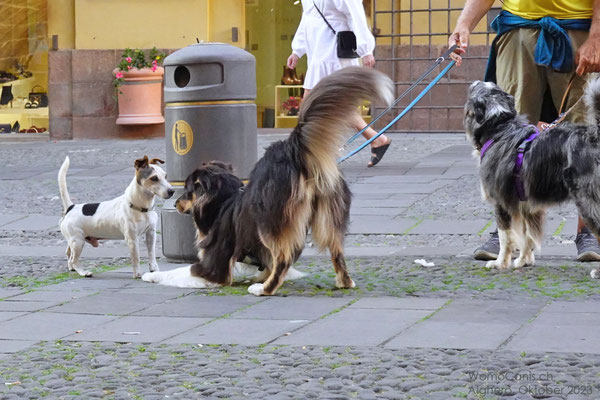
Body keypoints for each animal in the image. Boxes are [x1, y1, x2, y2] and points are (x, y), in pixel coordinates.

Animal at [143, 67, 396, 296]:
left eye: (187, 190)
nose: (175, 202)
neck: (223, 202)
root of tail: (293, 151)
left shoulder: (212, 268)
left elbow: (177, 272)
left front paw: (151, 275)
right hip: (327, 218)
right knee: (337, 253)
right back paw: (344, 283)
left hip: (269, 223)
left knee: (283, 259)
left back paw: (264, 289)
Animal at [466, 77, 600, 278]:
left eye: (475, 89)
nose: (474, 81)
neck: (499, 130)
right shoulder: (526, 205)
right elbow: (527, 237)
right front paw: (524, 261)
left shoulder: (502, 202)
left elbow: (506, 238)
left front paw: (500, 263)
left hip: (587, 200)